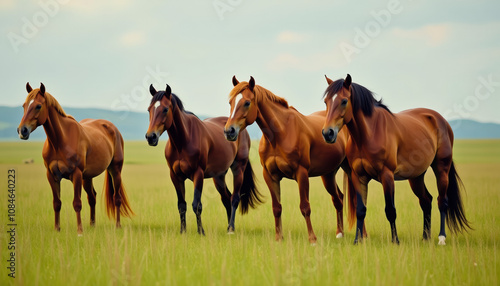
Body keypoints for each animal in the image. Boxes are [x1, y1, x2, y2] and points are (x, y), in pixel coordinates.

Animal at [18, 82, 134, 235]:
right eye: (24, 105)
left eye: (38, 106)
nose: (22, 130)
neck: (59, 141)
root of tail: (113, 128)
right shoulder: (52, 176)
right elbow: (57, 203)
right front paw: (57, 228)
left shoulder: (76, 174)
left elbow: (77, 203)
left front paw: (79, 230)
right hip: (88, 177)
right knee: (92, 197)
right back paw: (92, 225)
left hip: (115, 170)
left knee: (117, 198)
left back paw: (117, 225)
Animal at [145, 83, 264, 235]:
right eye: (149, 109)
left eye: (165, 109)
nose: (151, 137)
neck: (182, 141)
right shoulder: (175, 176)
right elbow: (181, 205)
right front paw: (183, 231)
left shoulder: (198, 174)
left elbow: (197, 204)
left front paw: (201, 232)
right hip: (218, 177)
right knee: (226, 198)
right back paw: (228, 228)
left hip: (238, 169)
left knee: (234, 198)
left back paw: (231, 228)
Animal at [225, 76, 350, 244]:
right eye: (230, 102)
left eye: (246, 103)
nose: (229, 131)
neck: (281, 134)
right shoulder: (270, 176)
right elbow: (276, 208)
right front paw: (279, 238)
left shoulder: (301, 174)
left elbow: (305, 207)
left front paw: (312, 239)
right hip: (328, 175)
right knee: (338, 199)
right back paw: (340, 233)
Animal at [322, 75, 470, 245]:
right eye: (326, 101)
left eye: (344, 101)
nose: (327, 133)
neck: (369, 134)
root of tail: (441, 120)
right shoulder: (358, 176)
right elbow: (360, 210)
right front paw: (357, 241)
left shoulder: (387, 175)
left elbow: (390, 210)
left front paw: (395, 241)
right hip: (416, 177)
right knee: (426, 201)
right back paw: (425, 237)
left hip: (441, 170)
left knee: (442, 201)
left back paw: (441, 238)